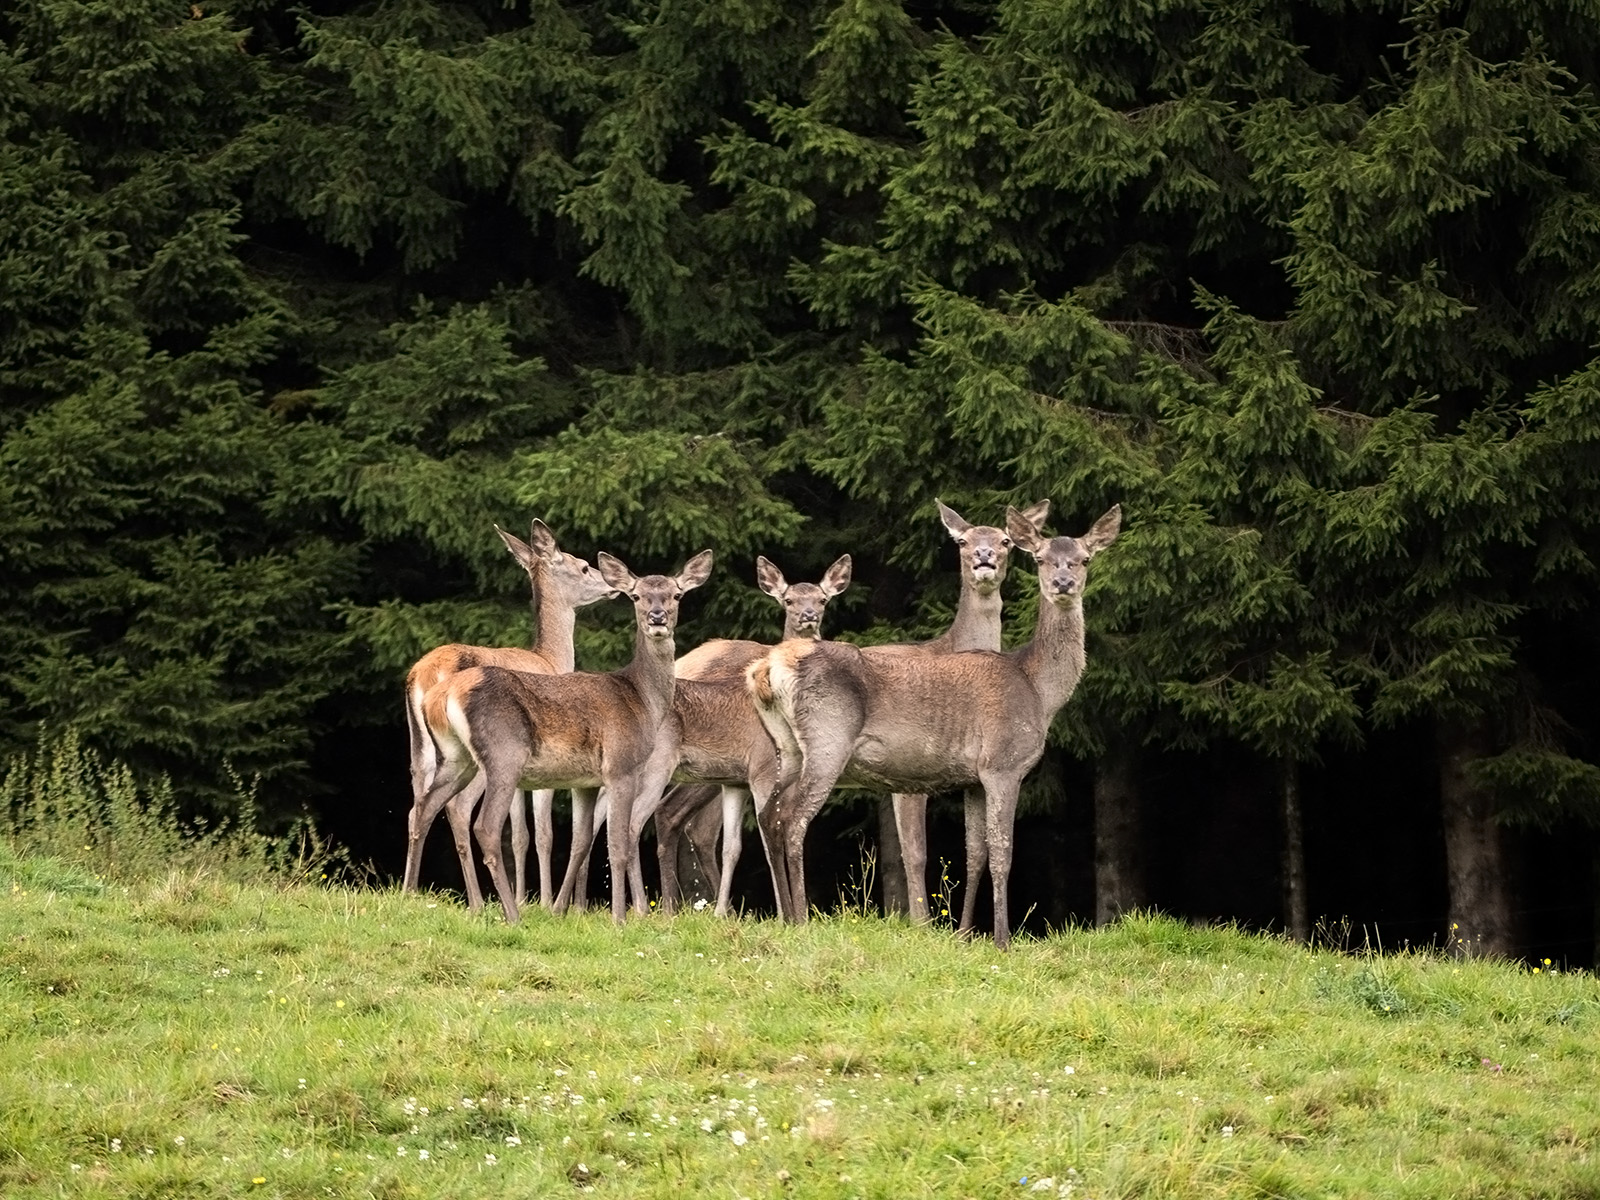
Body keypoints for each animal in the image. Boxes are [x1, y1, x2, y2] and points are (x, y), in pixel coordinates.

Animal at [401, 520, 616, 911]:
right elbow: (542, 832)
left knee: (417, 805)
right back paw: (476, 901)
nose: (612, 585)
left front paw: (526, 896)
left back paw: (410, 891)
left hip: (420, 748)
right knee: (457, 808)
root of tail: (424, 676)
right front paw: (544, 902)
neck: (550, 660)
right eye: (582, 567)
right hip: (475, 757)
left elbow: (518, 834)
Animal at [414, 549, 713, 924]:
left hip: (456, 757)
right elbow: (618, 844)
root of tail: (442, 693)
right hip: (503, 755)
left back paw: (413, 894)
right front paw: (620, 919)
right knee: (483, 825)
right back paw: (512, 914)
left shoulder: (586, 781)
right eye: (636, 595)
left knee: (424, 806)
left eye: (676, 595)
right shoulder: (621, 766)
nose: (656, 617)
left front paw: (562, 910)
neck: (641, 699)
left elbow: (582, 841)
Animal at [554, 554, 852, 915]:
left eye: (823, 600)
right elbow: (775, 831)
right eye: (789, 601)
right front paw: (791, 913)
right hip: (660, 768)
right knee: (648, 819)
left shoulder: (739, 782)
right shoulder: (764, 770)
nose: (809, 616)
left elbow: (738, 844)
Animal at [748, 504, 1120, 949]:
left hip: (787, 748)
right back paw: (802, 919)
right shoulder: (1004, 764)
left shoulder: (974, 779)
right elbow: (1002, 853)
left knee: (769, 816)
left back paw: (786, 917)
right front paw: (1003, 939)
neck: (1038, 691)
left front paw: (964, 935)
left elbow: (975, 854)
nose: (1063, 583)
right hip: (828, 739)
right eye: (1040, 558)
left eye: (1084, 559)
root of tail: (769, 667)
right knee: (793, 820)